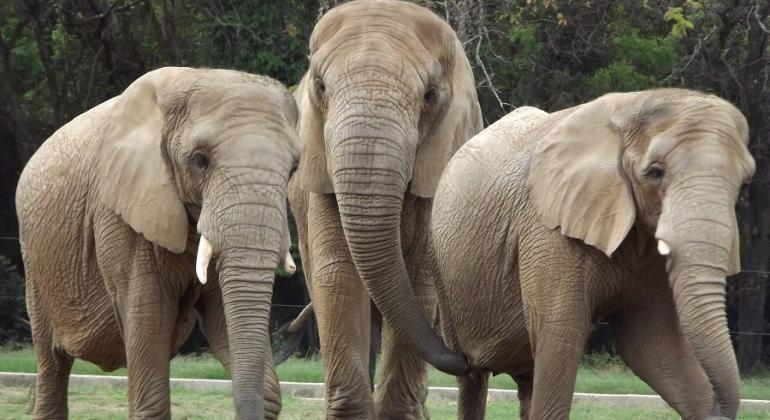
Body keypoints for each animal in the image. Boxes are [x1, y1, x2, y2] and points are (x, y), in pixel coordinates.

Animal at [15, 67, 300, 418]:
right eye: (200, 160)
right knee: (52, 363)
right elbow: (149, 325)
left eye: (294, 168)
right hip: (35, 264)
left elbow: (226, 317)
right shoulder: (119, 214)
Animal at [428, 90, 752, 418]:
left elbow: (650, 341)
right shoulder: (549, 231)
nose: (718, 408)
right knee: (473, 377)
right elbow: (560, 334)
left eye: (745, 184)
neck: (634, 104)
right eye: (655, 173)